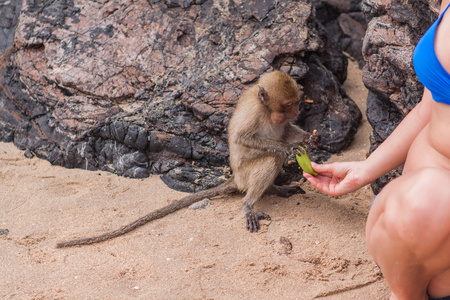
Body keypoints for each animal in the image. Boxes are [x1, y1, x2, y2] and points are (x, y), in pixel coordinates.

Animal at [56, 71, 318, 248]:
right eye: (288, 104)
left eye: (296, 103)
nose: (296, 111)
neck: (267, 110)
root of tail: (235, 177)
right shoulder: (255, 112)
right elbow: (245, 138)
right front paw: (289, 147)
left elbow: (284, 130)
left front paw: (308, 138)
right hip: (245, 173)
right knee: (272, 158)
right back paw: (249, 204)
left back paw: (274, 189)